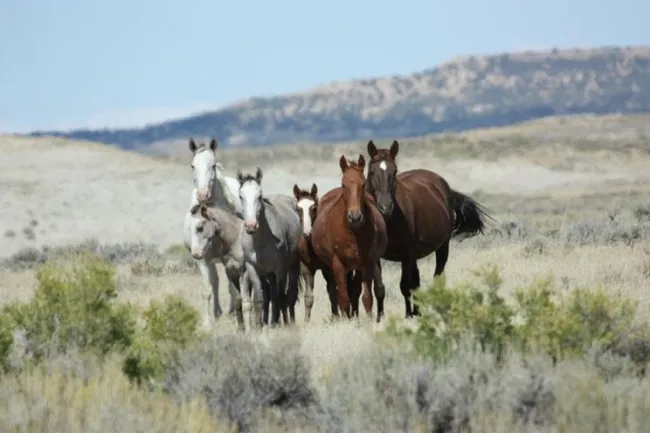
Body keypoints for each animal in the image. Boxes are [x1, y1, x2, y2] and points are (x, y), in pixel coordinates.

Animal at [237, 167, 305, 327]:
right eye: (241, 196)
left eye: (259, 195)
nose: (251, 225)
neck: (260, 241)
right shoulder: (253, 268)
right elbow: (259, 298)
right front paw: (259, 326)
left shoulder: (279, 269)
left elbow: (279, 296)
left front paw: (278, 324)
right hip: (267, 274)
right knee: (271, 296)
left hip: (292, 266)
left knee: (288, 296)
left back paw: (288, 322)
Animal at [292, 183, 339, 321]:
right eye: (298, 208)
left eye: (314, 207)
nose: (307, 232)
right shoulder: (306, 268)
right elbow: (308, 297)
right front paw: (306, 321)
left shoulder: (328, 269)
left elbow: (333, 292)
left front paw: (336, 318)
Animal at [310, 154, 388, 322]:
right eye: (343, 184)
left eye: (363, 184)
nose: (355, 216)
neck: (352, 231)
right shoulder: (338, 264)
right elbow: (343, 298)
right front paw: (346, 320)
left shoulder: (366, 263)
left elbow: (366, 297)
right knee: (336, 291)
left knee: (355, 291)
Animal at [365, 139, 493, 318]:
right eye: (371, 172)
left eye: (394, 171)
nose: (385, 206)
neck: (389, 222)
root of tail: (444, 186)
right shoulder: (375, 257)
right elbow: (380, 288)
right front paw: (380, 318)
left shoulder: (406, 254)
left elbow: (405, 285)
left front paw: (408, 316)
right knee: (417, 281)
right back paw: (418, 312)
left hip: (442, 247)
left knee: (436, 276)